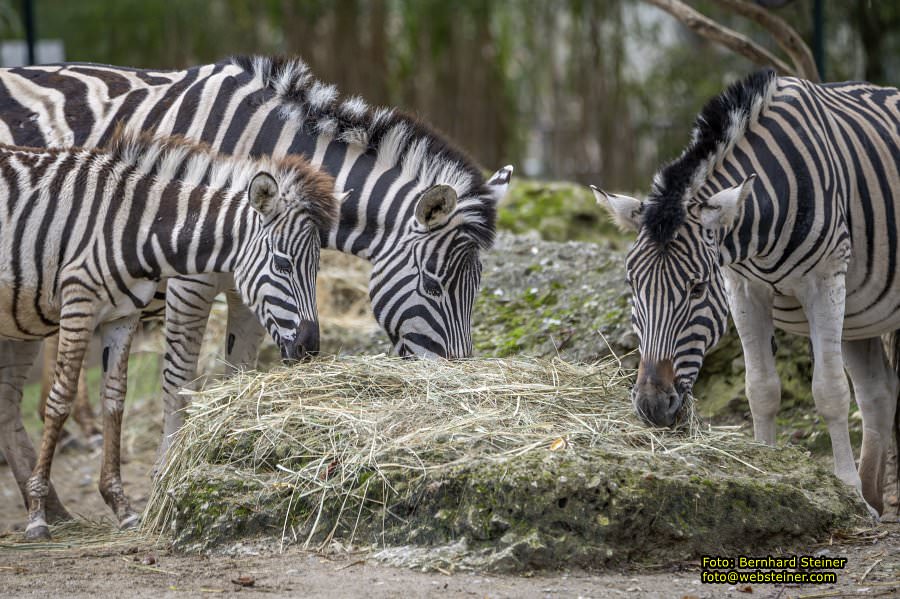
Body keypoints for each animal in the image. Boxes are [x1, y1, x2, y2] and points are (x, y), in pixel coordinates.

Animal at [0, 55, 510, 460]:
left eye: (476, 290)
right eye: (432, 285)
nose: (462, 387)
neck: (253, 146)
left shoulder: (250, 285)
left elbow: (238, 372)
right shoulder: (188, 283)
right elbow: (178, 384)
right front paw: (168, 473)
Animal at [0, 130, 338, 540]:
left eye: (317, 267)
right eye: (282, 264)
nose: (310, 347)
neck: (136, 227)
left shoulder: (122, 316)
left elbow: (114, 400)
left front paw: (122, 506)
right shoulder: (79, 301)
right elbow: (60, 399)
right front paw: (36, 516)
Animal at [596, 68, 896, 512]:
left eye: (697, 287)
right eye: (633, 285)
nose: (652, 406)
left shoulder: (825, 282)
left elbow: (830, 391)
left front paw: (845, 487)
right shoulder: (743, 289)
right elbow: (761, 389)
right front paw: (770, 474)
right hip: (861, 311)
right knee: (878, 391)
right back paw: (873, 499)